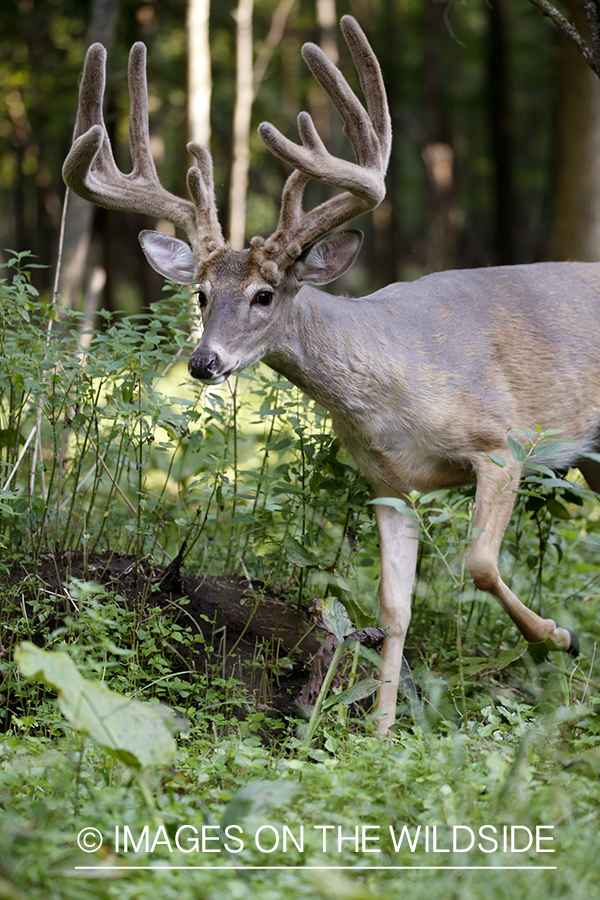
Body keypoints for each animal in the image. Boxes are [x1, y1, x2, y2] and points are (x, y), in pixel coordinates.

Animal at [63, 15, 596, 732]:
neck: (391, 389)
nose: (204, 362)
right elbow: (394, 609)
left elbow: (480, 563)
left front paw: (559, 637)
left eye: (264, 294)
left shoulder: (503, 445)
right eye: (200, 294)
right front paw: (383, 731)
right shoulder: (391, 485)